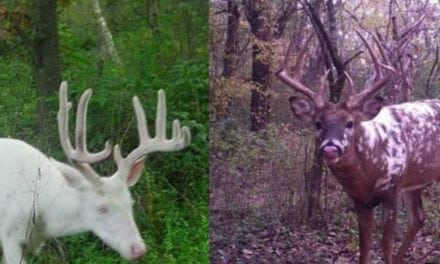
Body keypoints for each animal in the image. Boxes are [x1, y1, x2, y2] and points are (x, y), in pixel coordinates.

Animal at [276, 31, 438, 264]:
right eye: (318, 123)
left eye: (350, 123)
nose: (330, 148)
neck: (368, 173)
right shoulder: (359, 200)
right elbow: (365, 246)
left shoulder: (392, 190)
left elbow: (385, 246)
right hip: (415, 180)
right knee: (418, 218)